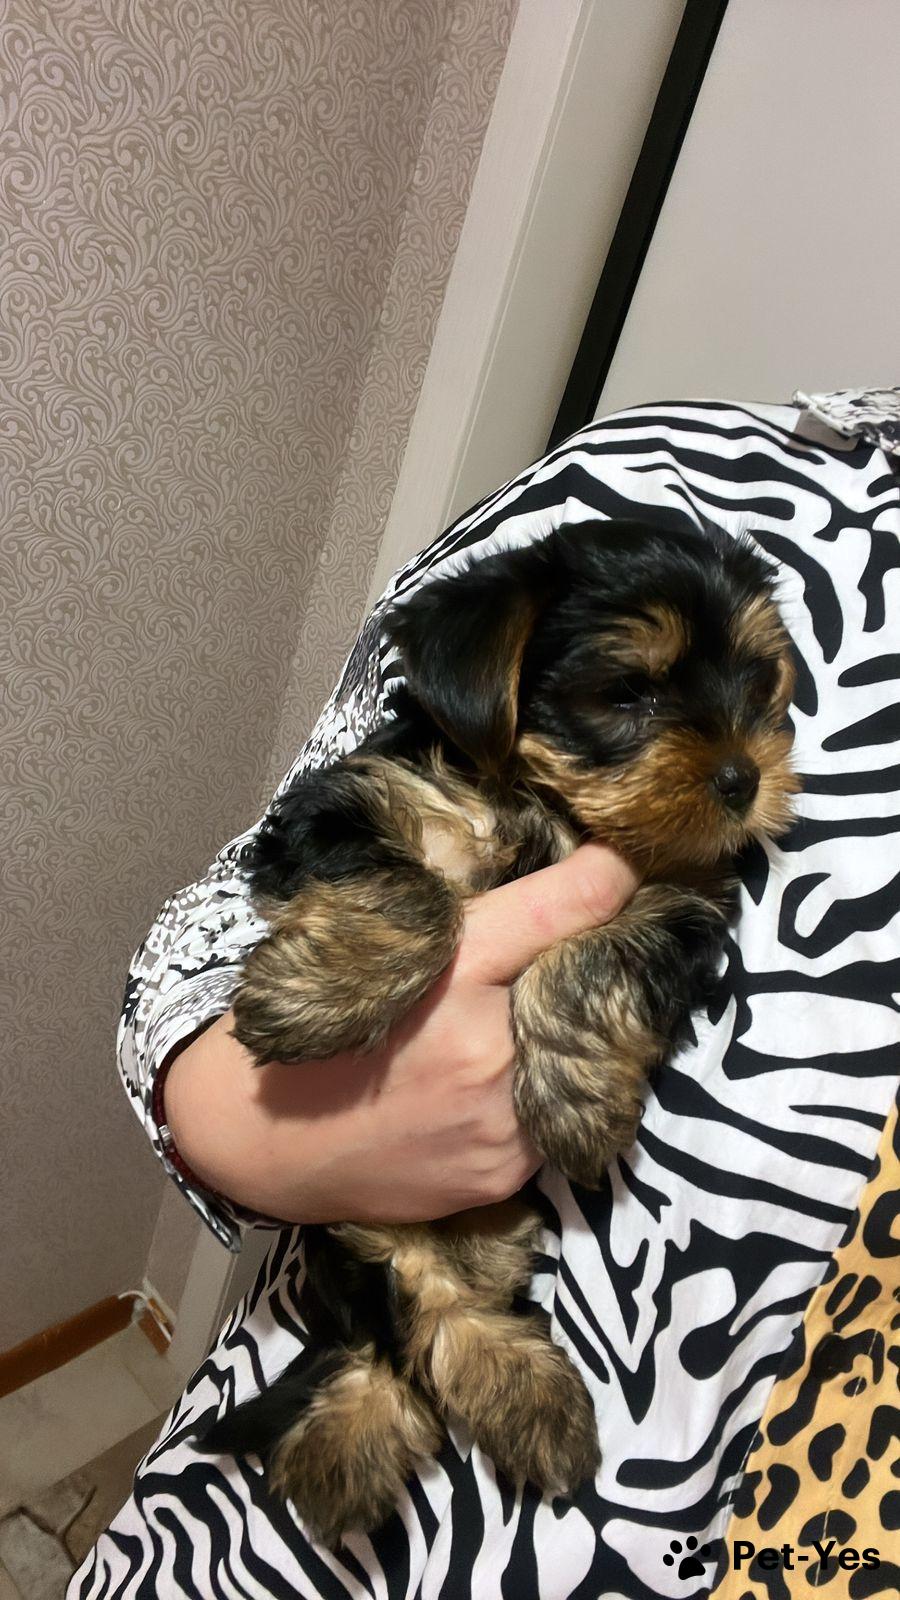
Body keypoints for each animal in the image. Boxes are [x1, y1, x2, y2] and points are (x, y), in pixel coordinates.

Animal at [199, 518, 799, 1544]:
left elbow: (594, 956)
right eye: (630, 693)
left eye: (759, 683)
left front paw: (575, 1100)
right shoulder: (352, 804)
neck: (544, 804)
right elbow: (414, 888)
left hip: (487, 1235)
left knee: (431, 1325)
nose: (742, 778)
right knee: (404, 1315)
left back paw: (506, 1404)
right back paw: (364, 1442)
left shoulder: (680, 894)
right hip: (361, 1215)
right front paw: (320, 993)